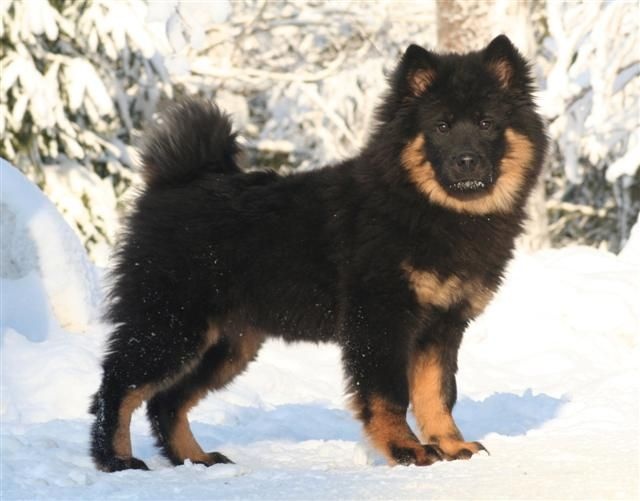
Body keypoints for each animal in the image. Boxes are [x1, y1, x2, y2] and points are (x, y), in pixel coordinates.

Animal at [90, 34, 547, 471]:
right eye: (441, 126)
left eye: (487, 123)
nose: (466, 161)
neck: (433, 209)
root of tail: (176, 182)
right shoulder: (381, 320)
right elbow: (389, 395)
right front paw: (405, 450)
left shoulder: (443, 326)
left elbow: (438, 393)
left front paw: (450, 445)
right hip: (170, 325)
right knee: (117, 386)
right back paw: (116, 460)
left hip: (226, 344)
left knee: (165, 401)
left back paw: (195, 459)